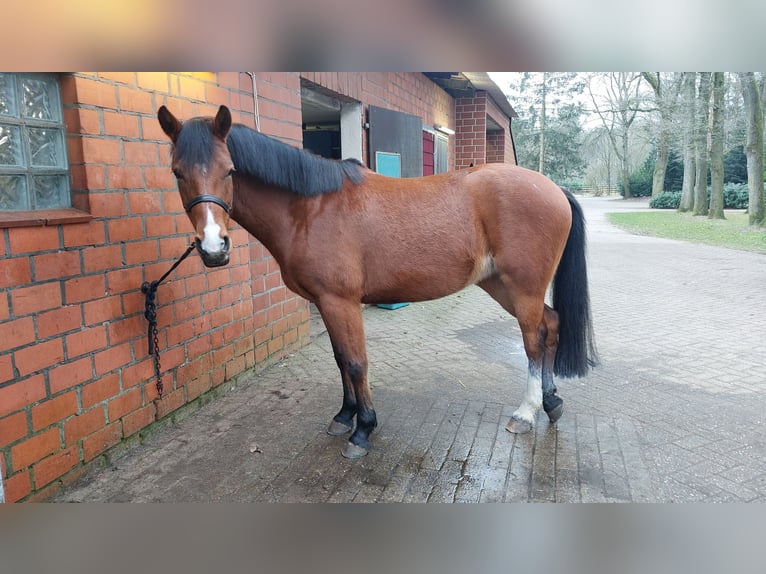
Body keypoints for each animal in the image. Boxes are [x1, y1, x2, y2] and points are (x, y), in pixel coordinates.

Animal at [158, 106, 600, 462]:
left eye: (229, 170)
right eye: (177, 173)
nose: (213, 248)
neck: (309, 208)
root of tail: (553, 187)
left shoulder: (341, 301)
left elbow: (356, 362)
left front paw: (364, 430)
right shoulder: (325, 302)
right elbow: (340, 360)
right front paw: (344, 416)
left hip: (523, 288)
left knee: (533, 341)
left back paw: (525, 413)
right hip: (501, 286)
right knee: (551, 325)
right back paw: (551, 403)